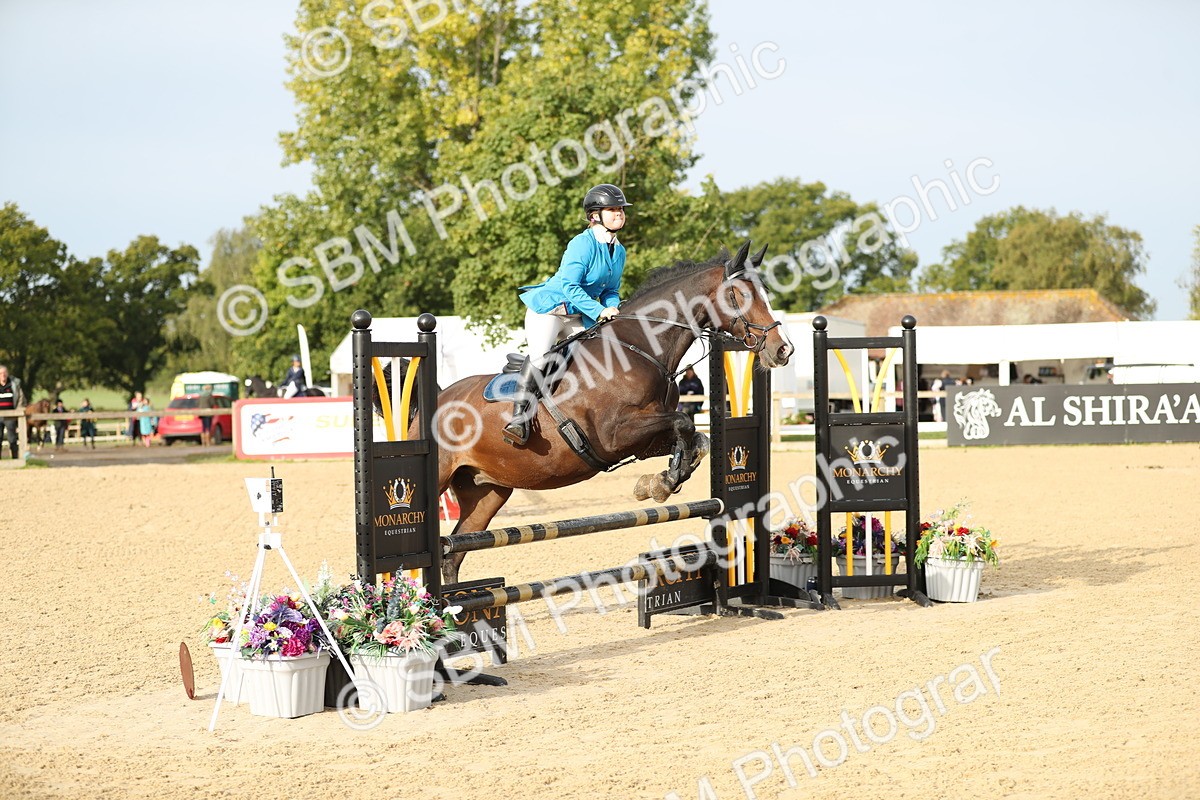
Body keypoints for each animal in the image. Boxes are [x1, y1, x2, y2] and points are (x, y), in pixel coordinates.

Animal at [386, 241, 794, 585]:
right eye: (739, 294)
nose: (782, 349)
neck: (641, 348)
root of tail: (439, 398)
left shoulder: (641, 441)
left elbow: (699, 438)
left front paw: (660, 481)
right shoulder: (615, 434)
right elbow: (684, 421)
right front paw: (662, 482)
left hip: (486, 491)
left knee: (453, 553)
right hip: (442, 476)